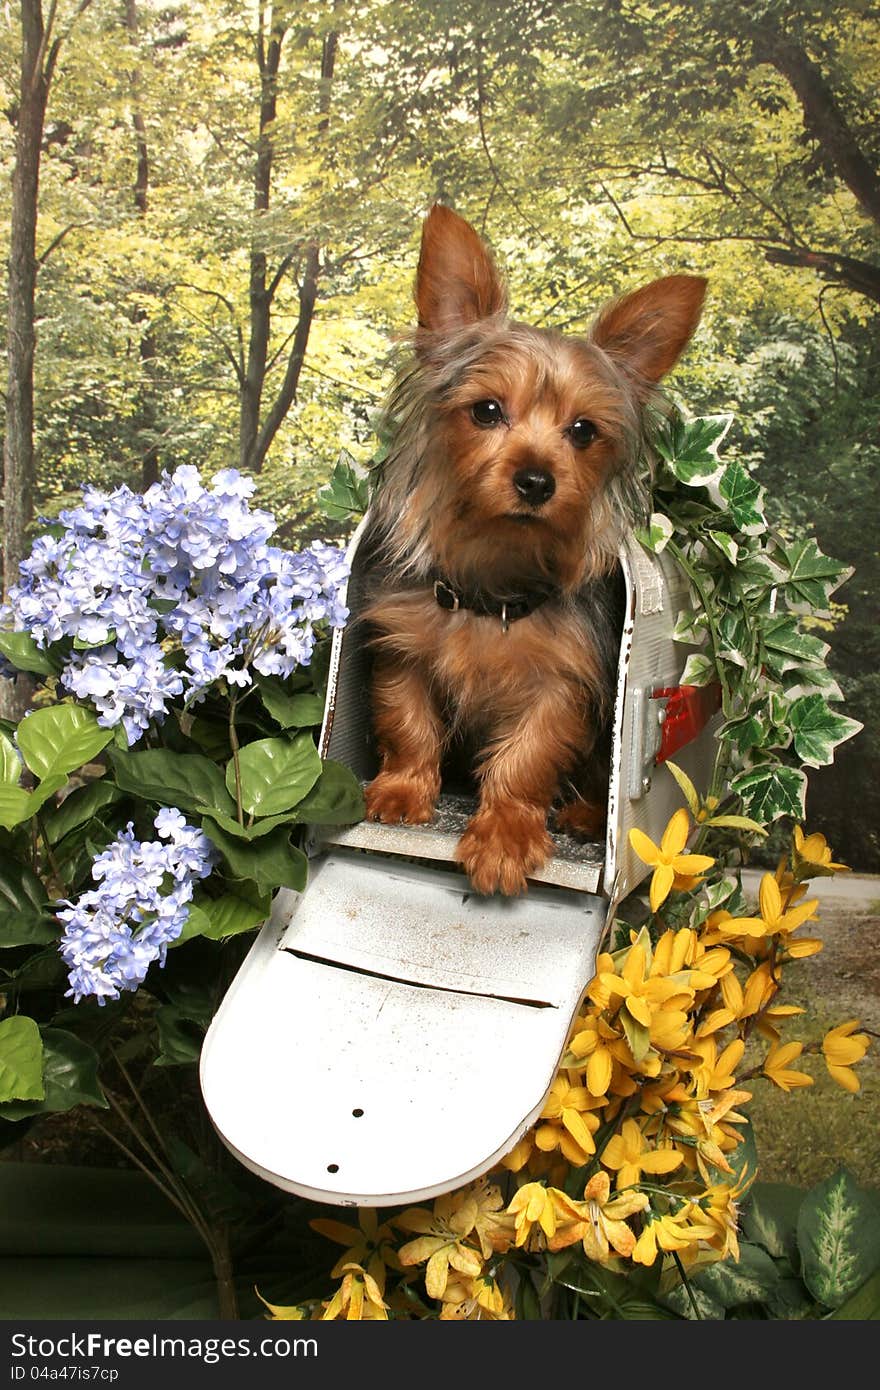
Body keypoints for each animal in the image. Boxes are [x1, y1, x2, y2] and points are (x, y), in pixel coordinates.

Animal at [361, 207, 703, 900]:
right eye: (487, 410)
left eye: (584, 431)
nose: (537, 481)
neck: (493, 579)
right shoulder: (405, 650)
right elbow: (408, 721)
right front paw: (402, 789)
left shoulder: (561, 685)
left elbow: (528, 757)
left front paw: (503, 837)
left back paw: (583, 814)